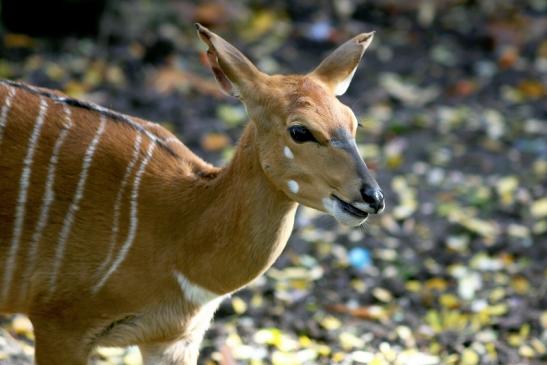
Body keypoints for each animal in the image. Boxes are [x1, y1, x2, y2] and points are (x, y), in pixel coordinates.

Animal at [0, 24, 386, 362]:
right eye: (300, 131)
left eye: (354, 123)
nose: (373, 197)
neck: (177, 227)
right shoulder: (60, 324)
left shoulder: (174, 339)